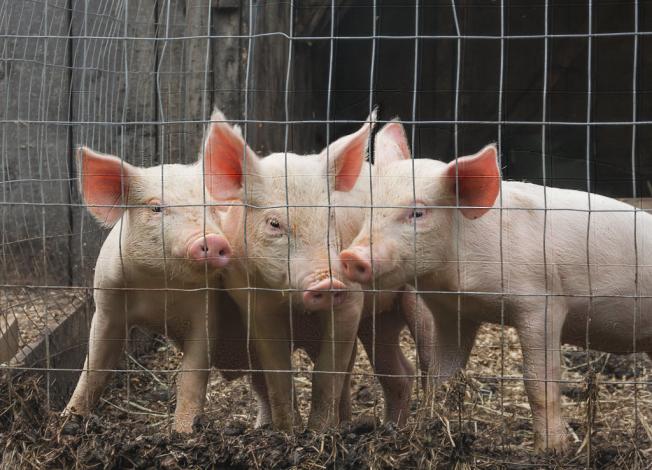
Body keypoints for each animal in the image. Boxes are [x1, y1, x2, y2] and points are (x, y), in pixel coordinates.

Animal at [65, 145, 242, 432]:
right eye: (156, 207)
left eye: (213, 209)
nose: (212, 239)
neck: (159, 288)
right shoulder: (107, 306)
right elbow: (94, 367)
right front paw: (68, 421)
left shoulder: (207, 311)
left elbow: (191, 378)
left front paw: (183, 433)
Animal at [201, 109, 436, 430]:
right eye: (274, 223)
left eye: (330, 217)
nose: (328, 281)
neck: (293, 304)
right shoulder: (254, 305)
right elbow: (277, 375)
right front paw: (287, 432)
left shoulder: (351, 299)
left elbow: (326, 373)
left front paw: (318, 432)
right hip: (380, 320)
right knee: (400, 372)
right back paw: (391, 428)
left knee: (430, 355)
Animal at [336, 124, 652, 452]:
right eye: (369, 210)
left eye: (418, 213)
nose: (351, 256)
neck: (461, 282)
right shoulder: (452, 312)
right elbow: (439, 375)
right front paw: (429, 431)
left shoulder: (542, 302)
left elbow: (539, 379)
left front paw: (551, 450)